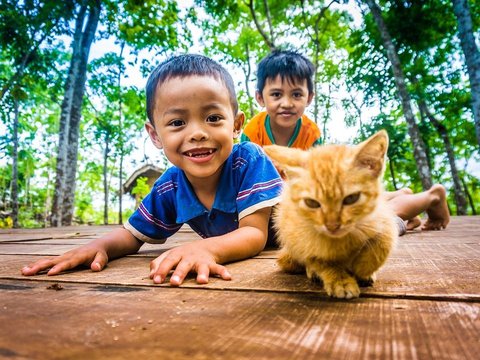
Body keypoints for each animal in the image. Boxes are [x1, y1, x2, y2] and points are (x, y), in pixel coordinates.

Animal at [264, 131, 396, 300]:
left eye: (351, 198)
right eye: (311, 203)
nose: (332, 226)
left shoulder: (383, 217)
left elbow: (383, 243)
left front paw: (363, 270)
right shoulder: (298, 238)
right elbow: (319, 261)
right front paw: (340, 280)